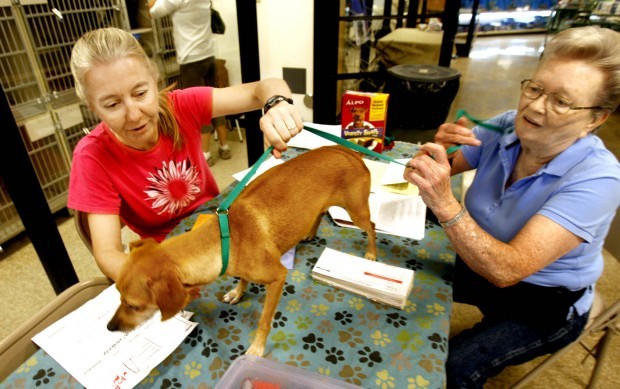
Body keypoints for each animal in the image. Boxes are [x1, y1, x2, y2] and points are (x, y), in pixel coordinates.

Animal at [108, 145, 378, 354]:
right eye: (118, 295)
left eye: (135, 306)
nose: (111, 328)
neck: (224, 240)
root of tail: (349, 151)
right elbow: (243, 278)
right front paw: (238, 292)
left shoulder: (278, 278)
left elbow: (264, 321)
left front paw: (257, 349)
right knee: (321, 213)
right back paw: (310, 232)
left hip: (356, 210)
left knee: (372, 227)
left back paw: (372, 253)